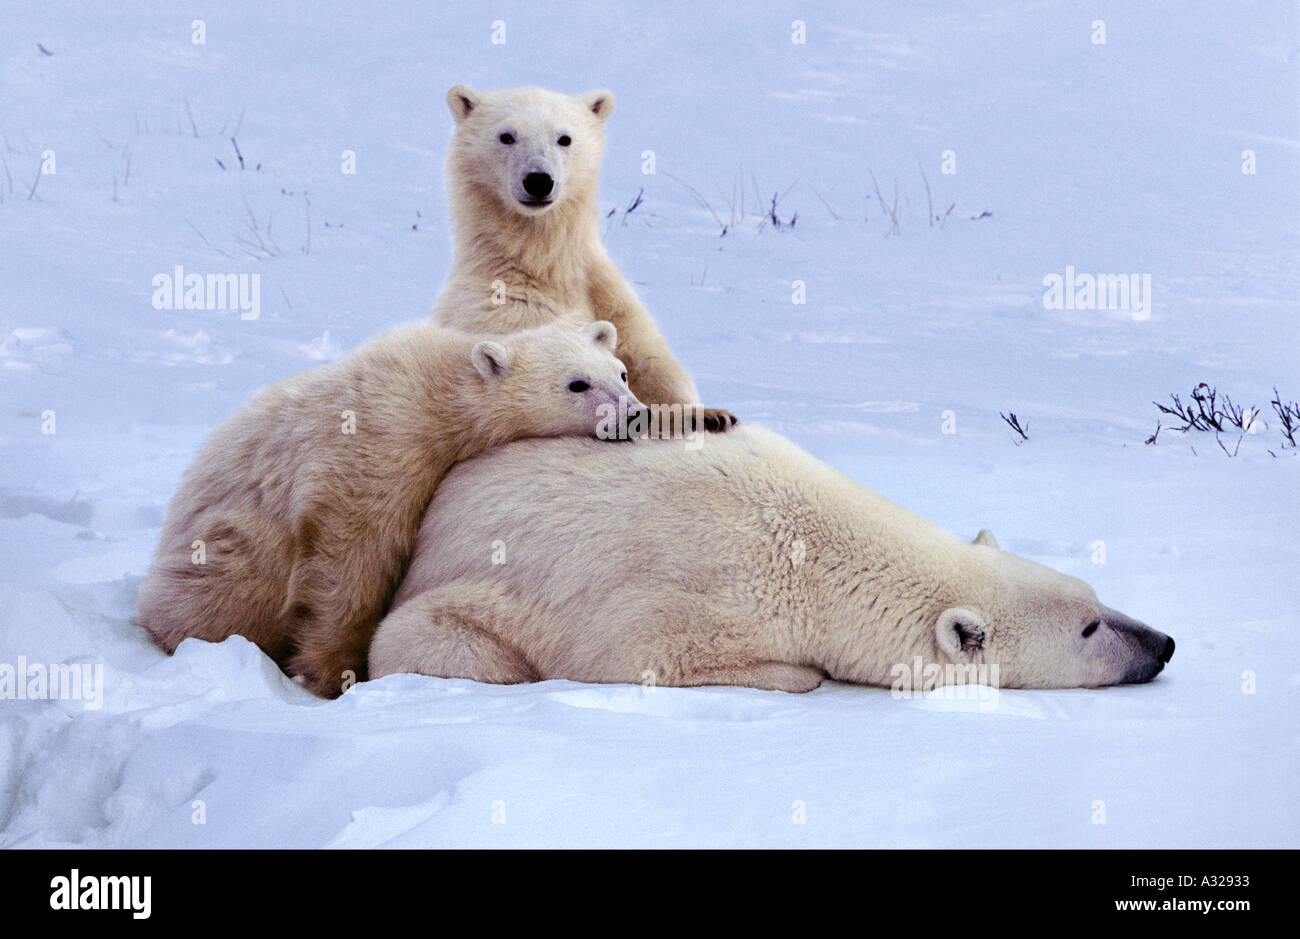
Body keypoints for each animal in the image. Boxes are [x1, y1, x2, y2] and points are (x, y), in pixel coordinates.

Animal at [136, 319, 642, 698]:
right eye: (577, 384)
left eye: (620, 373)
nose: (635, 415)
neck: (442, 396)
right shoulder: (379, 443)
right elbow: (349, 560)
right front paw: (337, 672)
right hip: (229, 553)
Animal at [370, 425, 1174, 692]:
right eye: (1087, 630)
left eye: (1096, 596)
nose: (1163, 643)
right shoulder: (695, 591)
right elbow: (635, 651)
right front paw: (801, 672)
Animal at [432, 84, 736, 435]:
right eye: (506, 136)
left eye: (564, 138)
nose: (539, 180)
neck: (544, 263)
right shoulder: (504, 311)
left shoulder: (610, 296)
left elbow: (650, 361)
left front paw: (711, 414)